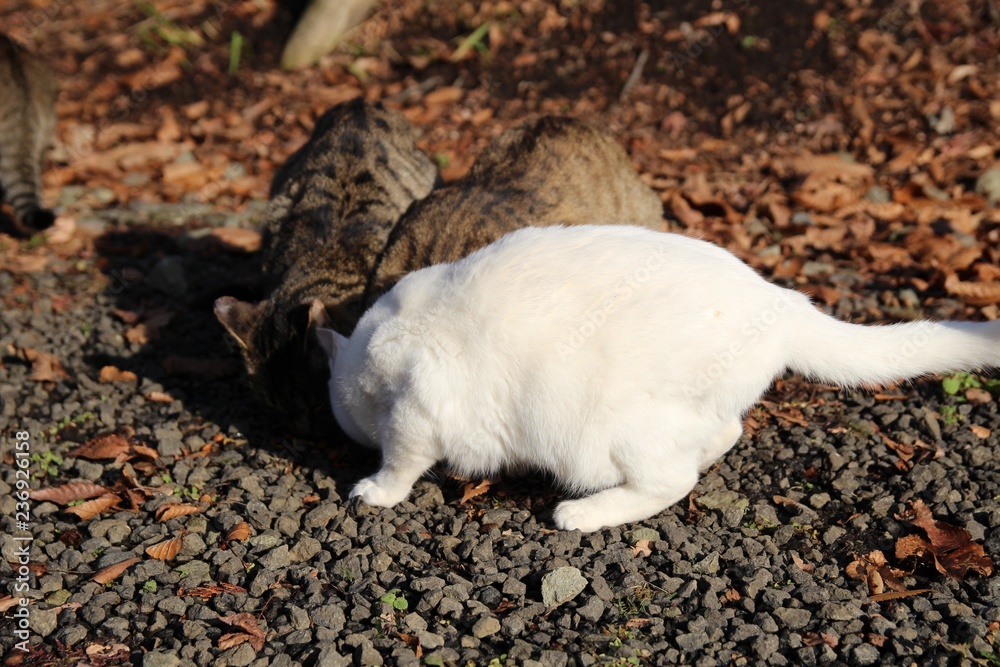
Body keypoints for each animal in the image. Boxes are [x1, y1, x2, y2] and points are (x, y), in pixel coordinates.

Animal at [316, 224, 1000, 532]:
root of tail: (782, 303)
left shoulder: (416, 408)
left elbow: (400, 462)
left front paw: (373, 489)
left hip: (612, 428)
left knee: (672, 481)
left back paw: (581, 513)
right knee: (722, 436)